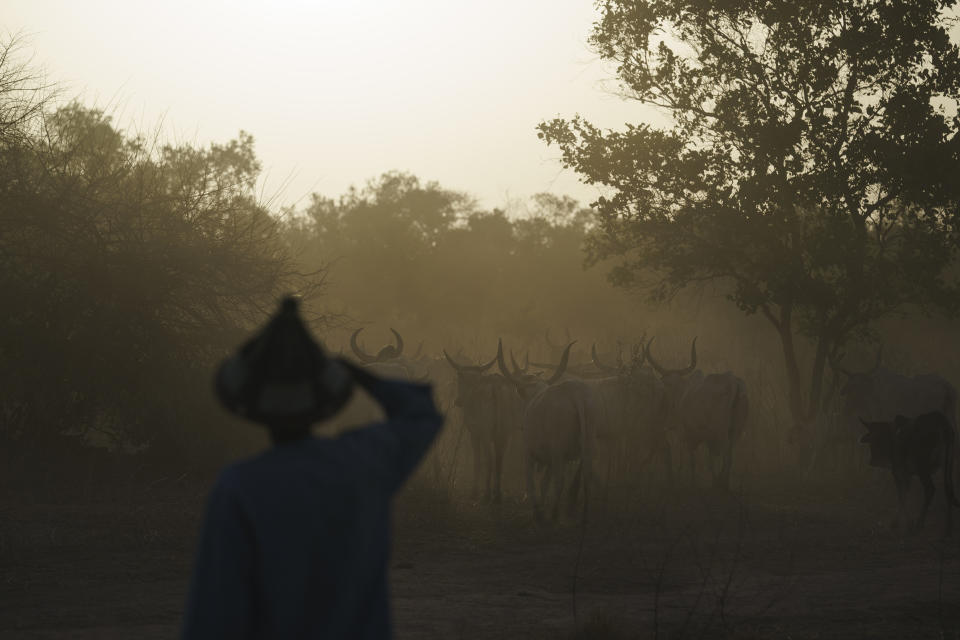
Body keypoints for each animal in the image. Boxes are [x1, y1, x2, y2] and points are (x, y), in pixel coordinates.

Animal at [496, 338, 600, 524]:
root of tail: (576, 393)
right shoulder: (550, 459)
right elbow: (544, 484)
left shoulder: (529, 453)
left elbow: (532, 483)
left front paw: (538, 512)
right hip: (587, 446)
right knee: (587, 478)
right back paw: (584, 517)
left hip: (558, 451)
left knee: (560, 481)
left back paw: (553, 514)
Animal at [644, 338, 752, 488]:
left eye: (666, 386)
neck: (682, 393)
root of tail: (733, 382)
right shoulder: (707, 437)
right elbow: (710, 461)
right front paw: (713, 480)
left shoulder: (688, 435)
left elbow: (693, 461)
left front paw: (693, 482)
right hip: (736, 431)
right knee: (730, 457)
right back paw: (722, 481)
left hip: (721, 431)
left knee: (726, 457)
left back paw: (723, 483)